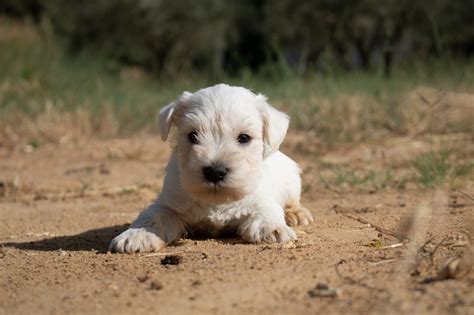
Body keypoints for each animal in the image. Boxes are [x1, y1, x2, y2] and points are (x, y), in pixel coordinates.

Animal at [109, 84, 312, 254]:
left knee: (293, 201)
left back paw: (296, 214)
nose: (215, 172)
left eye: (244, 138)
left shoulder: (261, 198)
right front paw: (136, 235)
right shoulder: (168, 202)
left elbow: (267, 210)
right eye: (193, 136)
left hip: (292, 180)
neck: (217, 201)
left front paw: (273, 229)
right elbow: (152, 215)